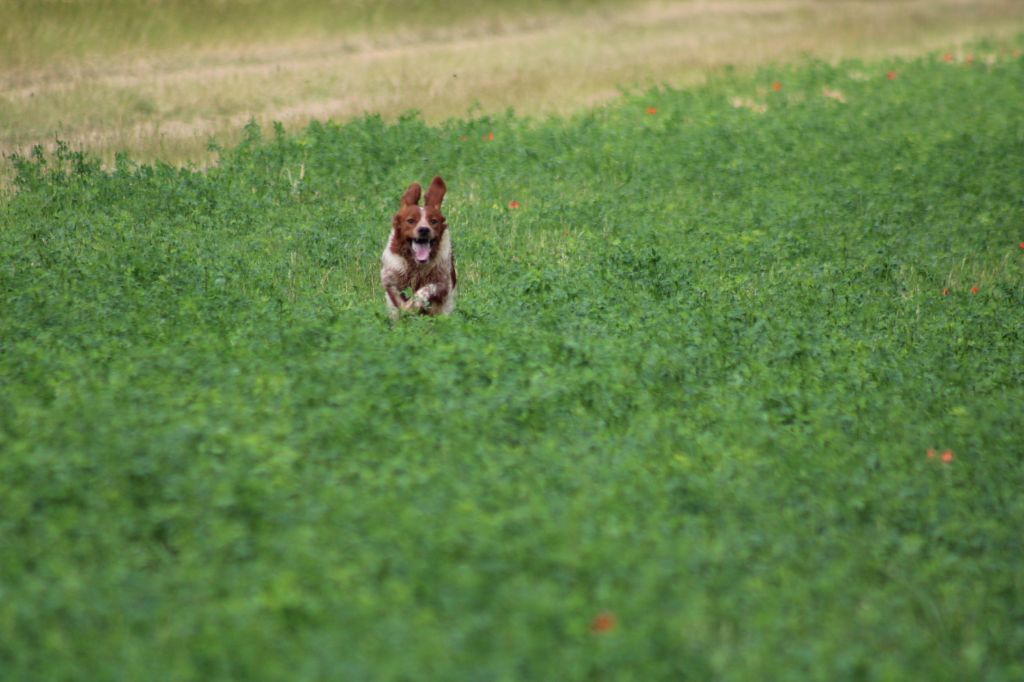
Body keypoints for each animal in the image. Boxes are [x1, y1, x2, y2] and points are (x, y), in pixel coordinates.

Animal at [380, 174, 456, 315]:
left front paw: (412, 305)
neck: (415, 265)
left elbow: (425, 289)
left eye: (434, 221)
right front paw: (406, 308)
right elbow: (396, 295)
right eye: (410, 220)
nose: (424, 229)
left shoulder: (443, 284)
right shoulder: (390, 278)